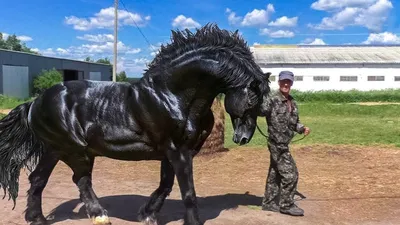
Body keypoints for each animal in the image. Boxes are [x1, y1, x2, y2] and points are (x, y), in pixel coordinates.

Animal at [0, 23, 270, 224]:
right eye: (253, 99)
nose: (243, 138)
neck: (172, 95)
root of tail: (34, 103)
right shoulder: (178, 150)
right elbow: (188, 192)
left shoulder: (172, 153)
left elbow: (166, 185)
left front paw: (147, 214)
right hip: (73, 150)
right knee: (80, 180)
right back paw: (99, 215)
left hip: (55, 150)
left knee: (39, 179)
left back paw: (37, 218)